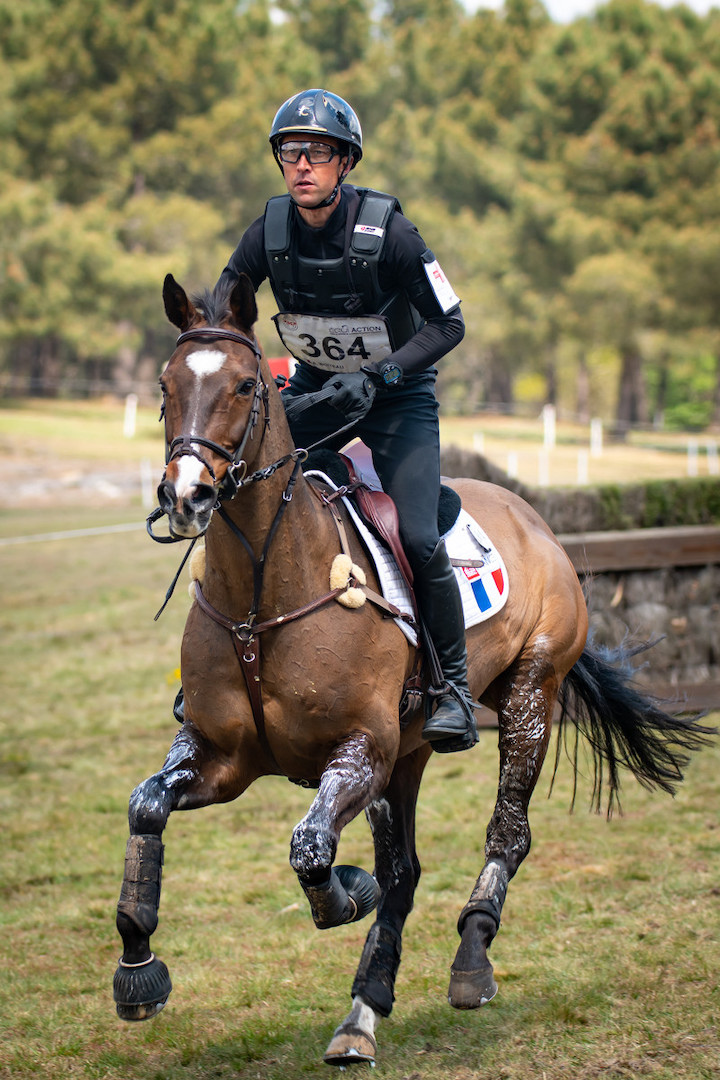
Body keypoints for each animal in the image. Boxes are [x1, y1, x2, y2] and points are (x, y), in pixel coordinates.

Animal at [115, 274, 712, 1067]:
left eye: (246, 385)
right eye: (166, 384)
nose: (187, 497)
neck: (263, 593)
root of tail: (536, 520)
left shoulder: (360, 752)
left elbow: (311, 850)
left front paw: (346, 891)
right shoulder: (223, 757)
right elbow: (146, 805)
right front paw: (137, 968)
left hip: (528, 696)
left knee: (507, 834)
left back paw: (471, 958)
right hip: (411, 751)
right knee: (404, 873)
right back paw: (361, 1013)